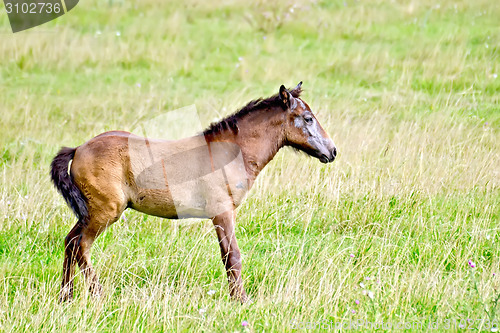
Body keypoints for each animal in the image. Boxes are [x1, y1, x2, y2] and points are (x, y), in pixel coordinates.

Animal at [51, 82, 336, 300]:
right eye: (308, 119)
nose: (332, 151)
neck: (230, 152)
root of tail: (78, 149)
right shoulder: (222, 213)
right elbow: (232, 257)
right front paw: (241, 300)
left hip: (89, 213)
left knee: (70, 242)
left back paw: (66, 296)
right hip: (105, 212)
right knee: (81, 246)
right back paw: (97, 294)